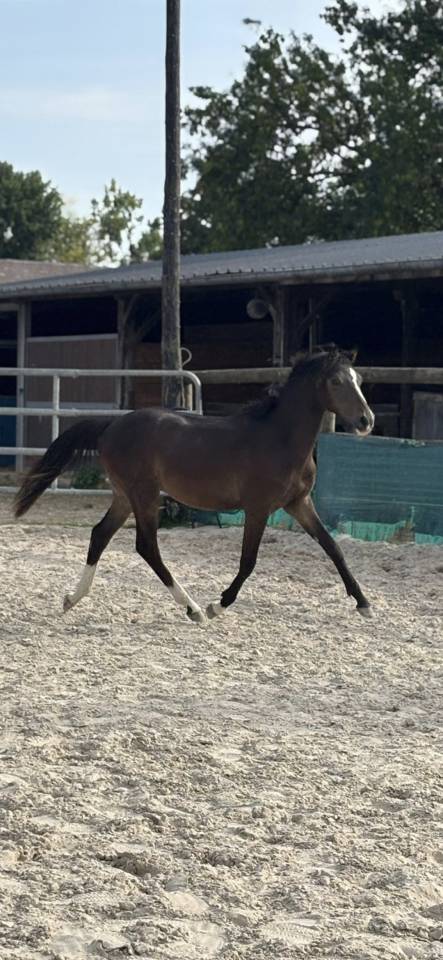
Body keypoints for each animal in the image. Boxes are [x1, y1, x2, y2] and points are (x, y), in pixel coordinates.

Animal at [14, 345, 375, 622]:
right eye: (337, 381)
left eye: (358, 379)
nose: (366, 421)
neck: (279, 439)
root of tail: (111, 426)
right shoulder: (258, 508)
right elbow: (248, 561)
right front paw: (218, 605)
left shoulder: (299, 503)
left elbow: (333, 547)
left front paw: (364, 604)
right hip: (144, 495)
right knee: (146, 546)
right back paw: (194, 609)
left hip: (124, 496)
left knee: (100, 534)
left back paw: (71, 599)